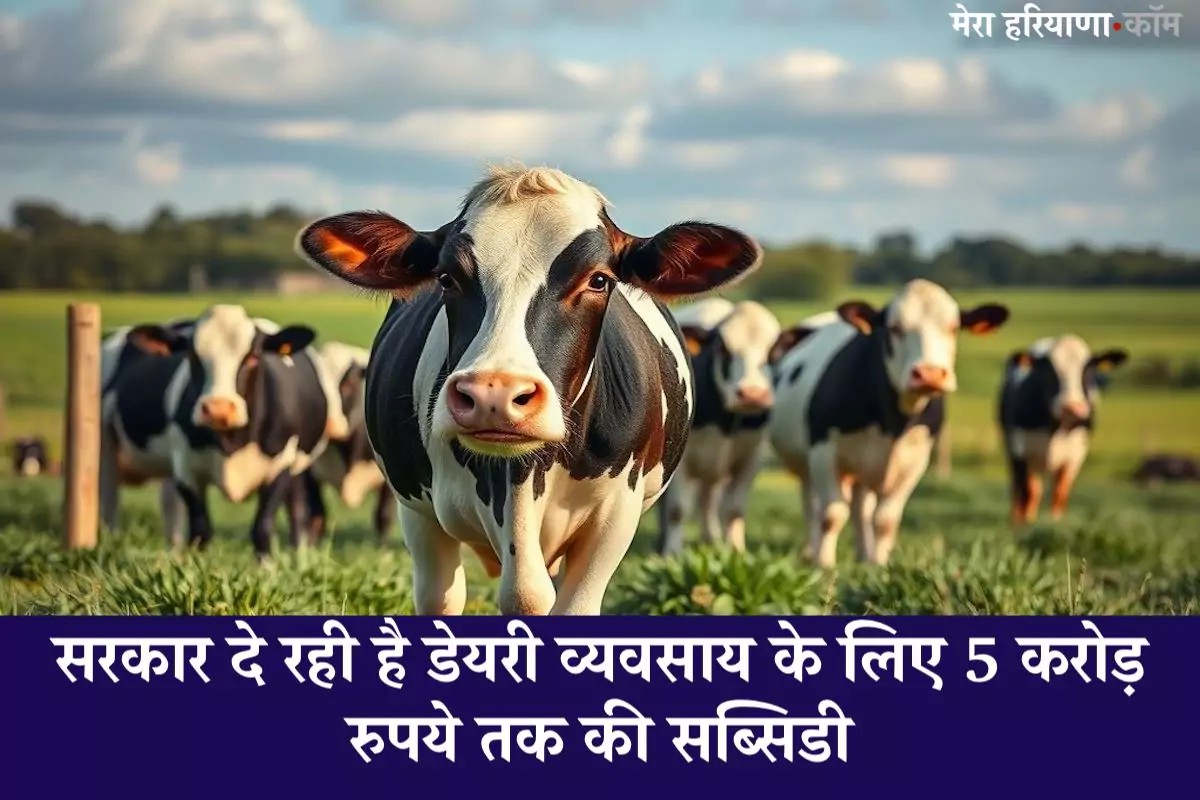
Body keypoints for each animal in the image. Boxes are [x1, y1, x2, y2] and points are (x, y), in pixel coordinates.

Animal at [100, 305, 344, 558]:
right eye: (192, 356)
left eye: (253, 357)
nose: (218, 408)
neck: (234, 441)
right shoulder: (185, 468)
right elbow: (200, 529)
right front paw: (196, 562)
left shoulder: (281, 464)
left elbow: (262, 525)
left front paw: (267, 564)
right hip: (105, 445)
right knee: (111, 502)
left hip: (299, 467)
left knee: (297, 510)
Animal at [655, 298, 783, 556]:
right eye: (723, 349)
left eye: (774, 351)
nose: (752, 394)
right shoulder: (681, 459)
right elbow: (677, 509)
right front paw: (672, 554)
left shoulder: (751, 459)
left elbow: (733, 510)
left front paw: (735, 551)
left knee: (708, 500)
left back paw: (710, 540)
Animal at [767, 279, 1010, 567]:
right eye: (895, 328)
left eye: (953, 328)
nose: (929, 374)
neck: (892, 424)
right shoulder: (823, 451)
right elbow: (832, 515)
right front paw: (824, 565)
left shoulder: (915, 461)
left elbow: (885, 520)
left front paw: (878, 565)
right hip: (807, 464)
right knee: (813, 506)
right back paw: (811, 552)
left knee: (861, 509)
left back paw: (863, 555)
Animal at [999, 335, 1128, 524]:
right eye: (1048, 371)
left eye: (1088, 370)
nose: (1072, 408)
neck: (1055, 429)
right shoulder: (1020, 448)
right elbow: (1026, 492)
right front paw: (1022, 525)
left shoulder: (1075, 455)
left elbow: (1060, 492)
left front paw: (1055, 522)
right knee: (1022, 488)